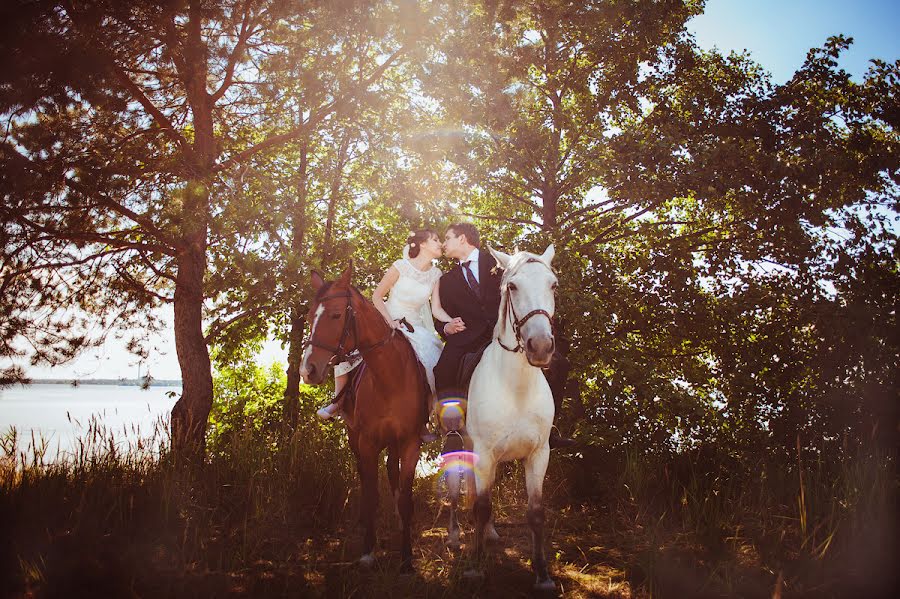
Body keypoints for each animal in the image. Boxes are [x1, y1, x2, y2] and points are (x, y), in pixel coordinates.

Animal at [298, 266, 426, 572]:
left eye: (335, 315)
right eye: (308, 317)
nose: (307, 370)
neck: (391, 376)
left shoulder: (410, 442)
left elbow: (406, 497)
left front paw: (406, 558)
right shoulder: (367, 442)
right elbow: (370, 494)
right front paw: (368, 550)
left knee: (392, 471)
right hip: (354, 436)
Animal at [464, 244, 556, 592]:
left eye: (553, 285)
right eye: (513, 287)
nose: (540, 346)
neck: (516, 387)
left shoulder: (539, 454)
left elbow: (536, 512)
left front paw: (542, 574)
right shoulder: (483, 452)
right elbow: (481, 505)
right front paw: (475, 567)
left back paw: (489, 533)